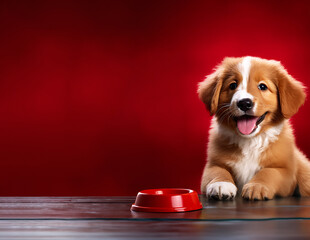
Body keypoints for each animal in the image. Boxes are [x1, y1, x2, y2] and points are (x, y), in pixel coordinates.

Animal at [197, 56, 310, 201]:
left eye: (262, 86)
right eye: (233, 85)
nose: (244, 103)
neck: (250, 140)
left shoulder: (286, 171)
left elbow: (269, 172)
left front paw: (257, 186)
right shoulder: (213, 164)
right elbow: (217, 171)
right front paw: (221, 184)